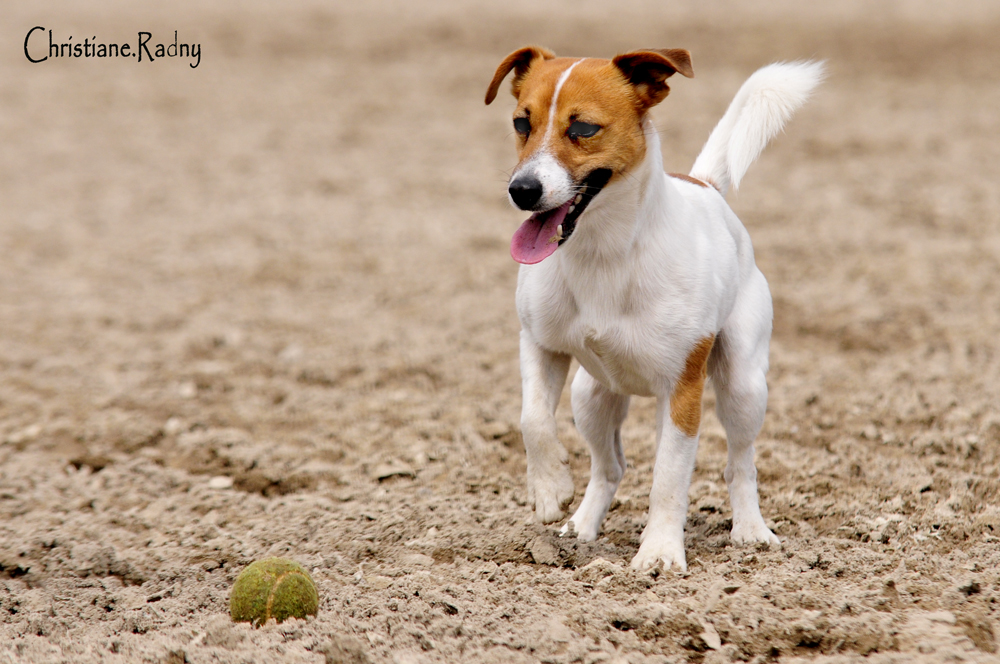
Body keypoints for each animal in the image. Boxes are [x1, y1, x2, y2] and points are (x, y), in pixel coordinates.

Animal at [484, 45, 820, 572]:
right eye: (522, 122)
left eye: (583, 128)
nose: (522, 190)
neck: (602, 253)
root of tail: (705, 184)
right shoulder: (539, 345)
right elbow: (532, 419)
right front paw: (550, 488)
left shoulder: (682, 390)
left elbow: (669, 480)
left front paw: (660, 552)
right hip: (590, 397)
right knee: (610, 468)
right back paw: (582, 527)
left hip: (742, 387)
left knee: (740, 464)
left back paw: (751, 531)